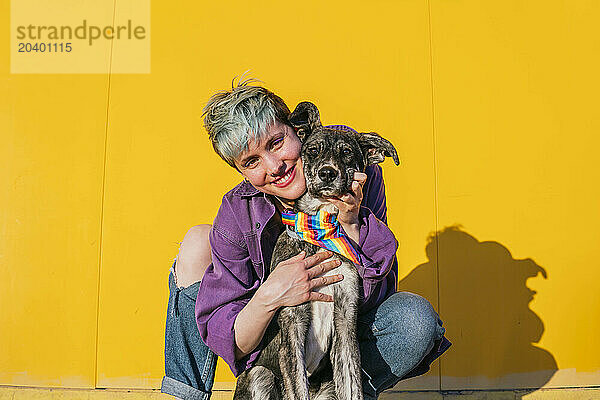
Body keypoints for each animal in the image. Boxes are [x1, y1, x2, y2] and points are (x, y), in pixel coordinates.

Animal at [233, 101, 398, 398]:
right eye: (312, 150)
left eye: (346, 153)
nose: (327, 173)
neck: (320, 232)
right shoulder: (292, 320)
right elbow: (296, 387)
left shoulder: (345, 319)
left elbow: (353, 385)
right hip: (260, 375)